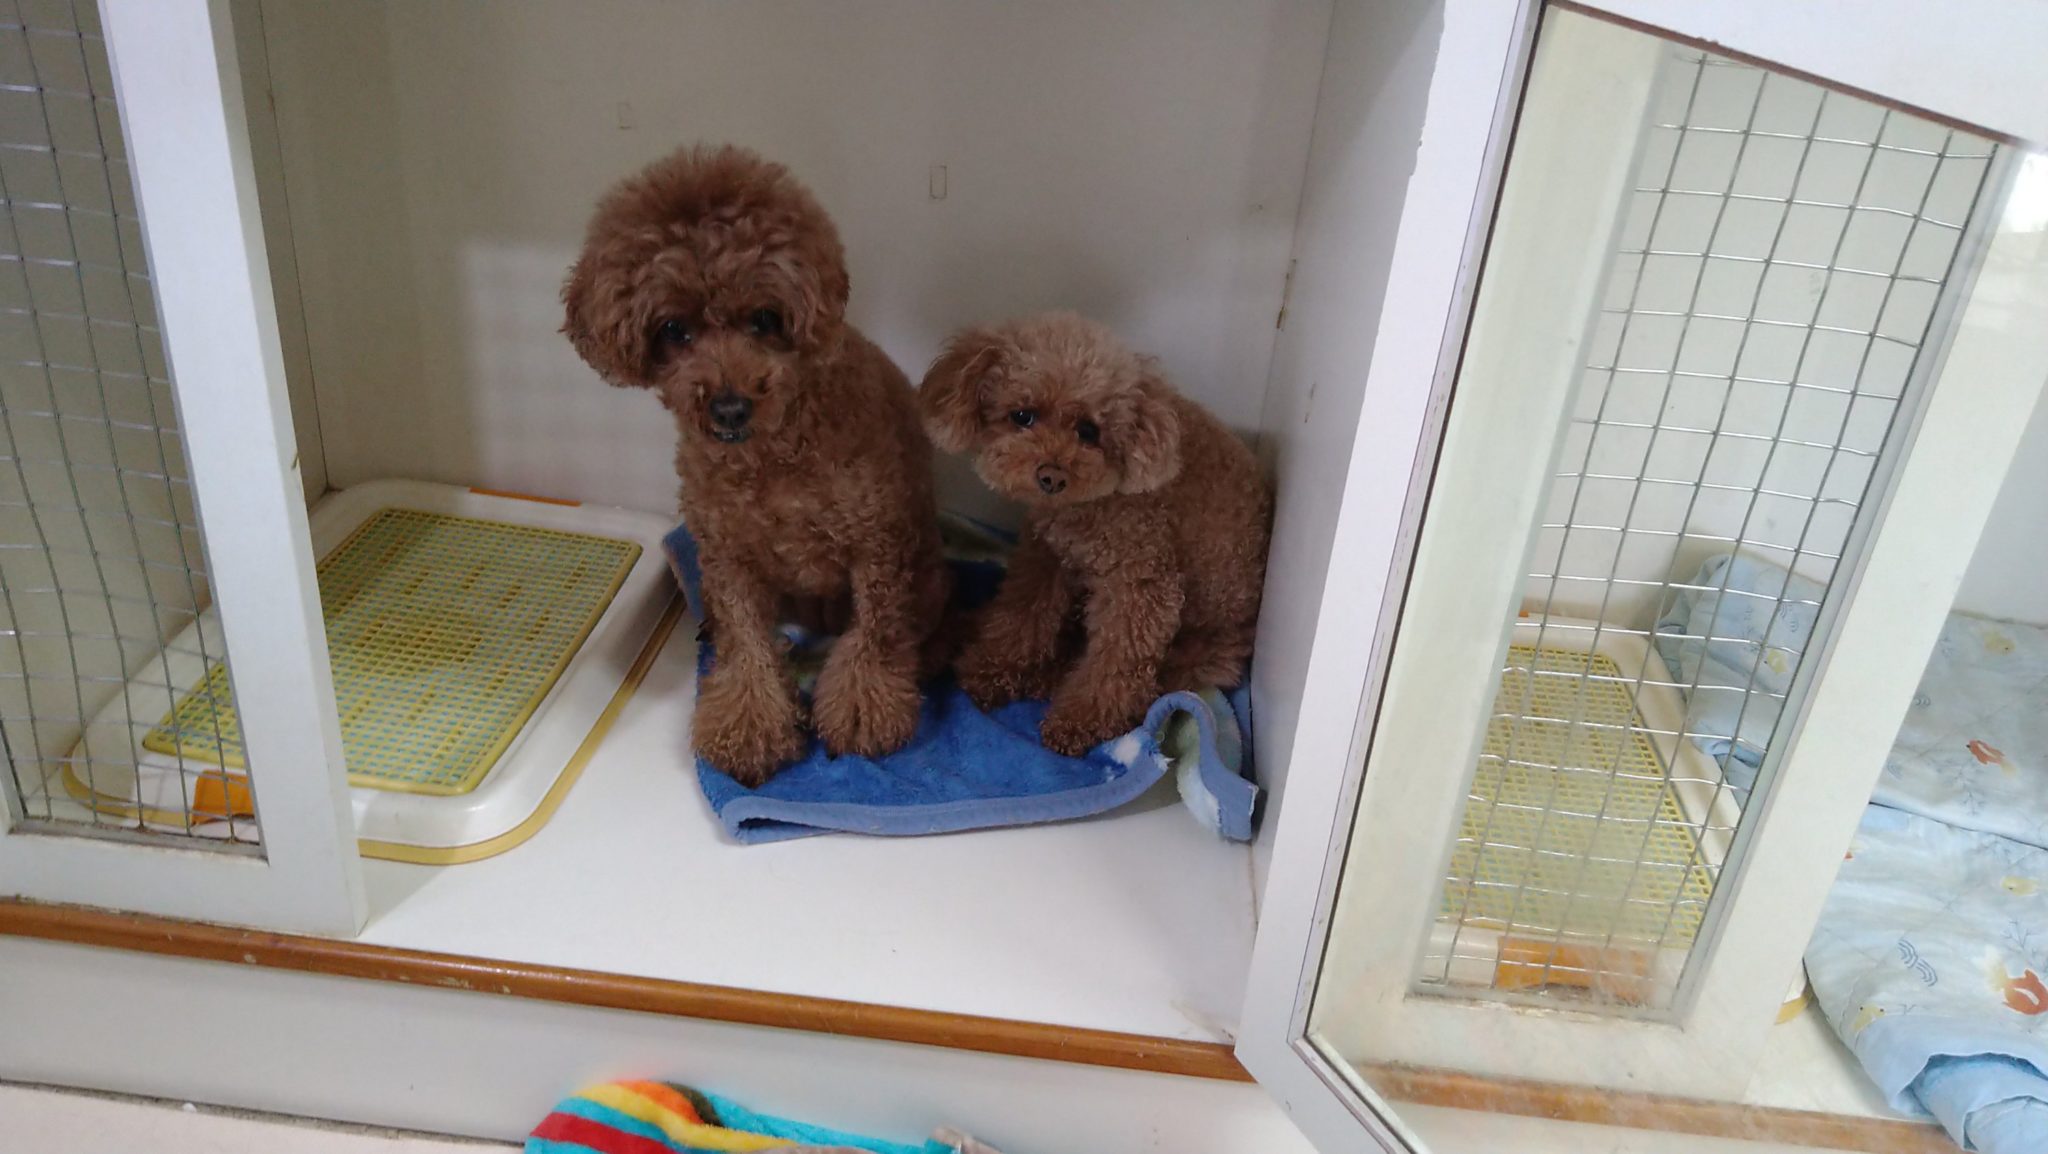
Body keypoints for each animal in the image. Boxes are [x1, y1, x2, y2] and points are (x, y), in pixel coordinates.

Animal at [563, 145, 947, 784]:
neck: (770, 458)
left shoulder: (875, 545)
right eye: (674, 329)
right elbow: (747, 646)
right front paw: (749, 731)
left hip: (922, 569)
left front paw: (861, 716)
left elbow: (873, 637)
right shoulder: (728, 557)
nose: (729, 406)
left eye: (765, 319)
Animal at [919, 312, 1271, 755]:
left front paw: (1079, 721)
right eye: (1023, 416)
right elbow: (1022, 615)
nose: (1051, 476)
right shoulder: (1047, 557)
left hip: (1197, 653)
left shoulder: (1141, 585)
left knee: (1147, 682)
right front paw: (990, 669)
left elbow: (1115, 660)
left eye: (1088, 431)